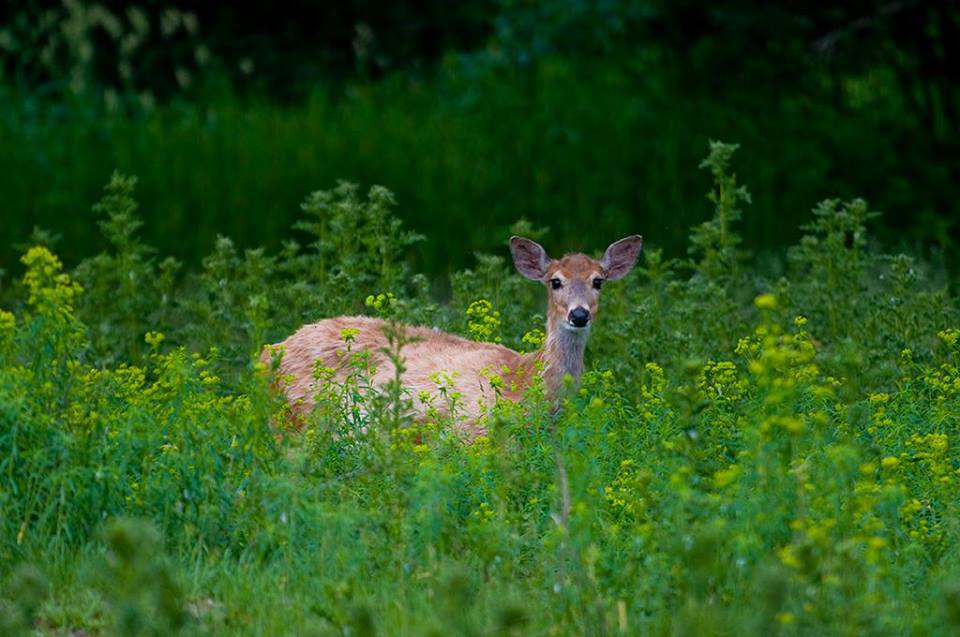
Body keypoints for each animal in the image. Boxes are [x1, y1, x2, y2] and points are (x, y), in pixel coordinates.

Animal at [258, 236, 640, 434]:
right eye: (555, 281)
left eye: (598, 281)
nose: (579, 314)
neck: (526, 381)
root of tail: (268, 353)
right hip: (298, 418)